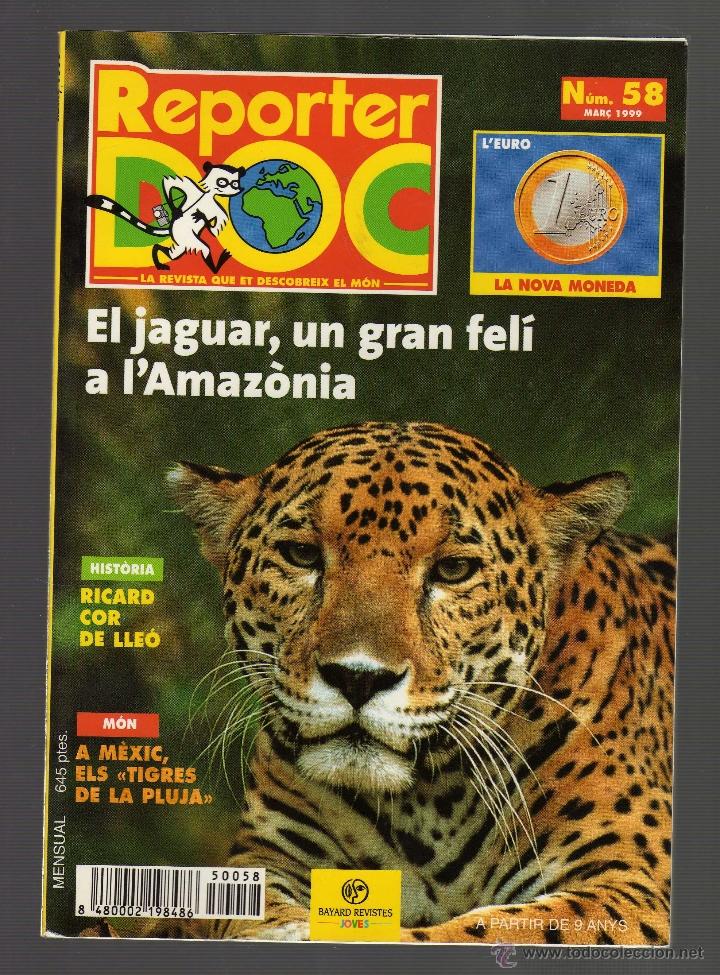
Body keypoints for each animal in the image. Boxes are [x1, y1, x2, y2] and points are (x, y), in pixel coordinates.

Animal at [147, 420, 674, 944]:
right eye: (301, 554)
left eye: (454, 569)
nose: (358, 677)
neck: (425, 808)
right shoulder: (268, 855)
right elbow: (246, 908)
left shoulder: (628, 883)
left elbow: (486, 930)